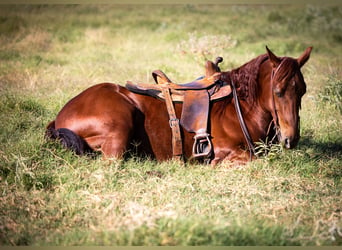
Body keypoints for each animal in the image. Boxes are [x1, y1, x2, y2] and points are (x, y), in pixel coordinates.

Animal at [46, 46, 312, 166]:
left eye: (302, 91)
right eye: (278, 92)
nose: (291, 139)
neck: (241, 108)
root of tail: (60, 117)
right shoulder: (227, 153)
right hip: (119, 126)